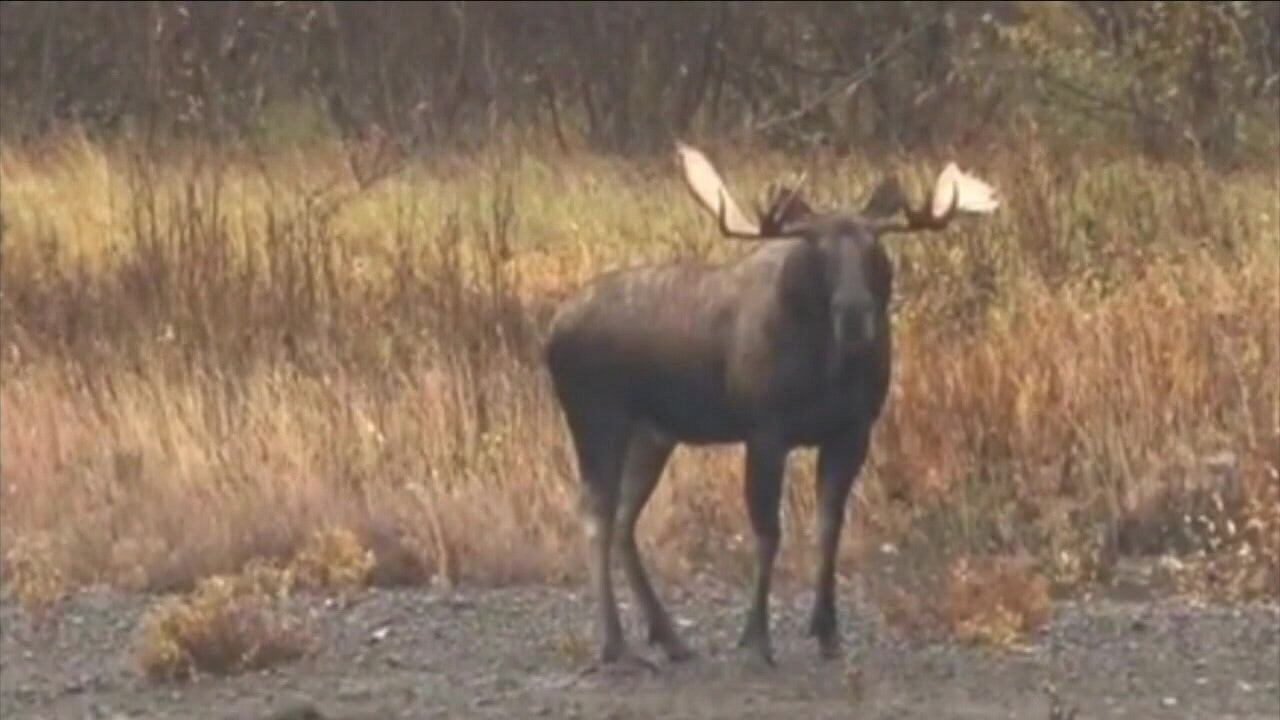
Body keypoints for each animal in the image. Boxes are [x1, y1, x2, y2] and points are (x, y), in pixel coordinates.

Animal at [542, 141, 1000, 675]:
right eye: (819, 250)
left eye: (873, 247)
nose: (854, 312)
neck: (828, 369)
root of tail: (550, 332)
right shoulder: (765, 432)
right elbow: (767, 533)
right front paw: (757, 638)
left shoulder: (852, 432)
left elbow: (829, 528)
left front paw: (827, 631)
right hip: (596, 419)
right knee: (595, 516)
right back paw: (616, 644)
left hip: (654, 434)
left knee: (623, 520)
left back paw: (670, 637)